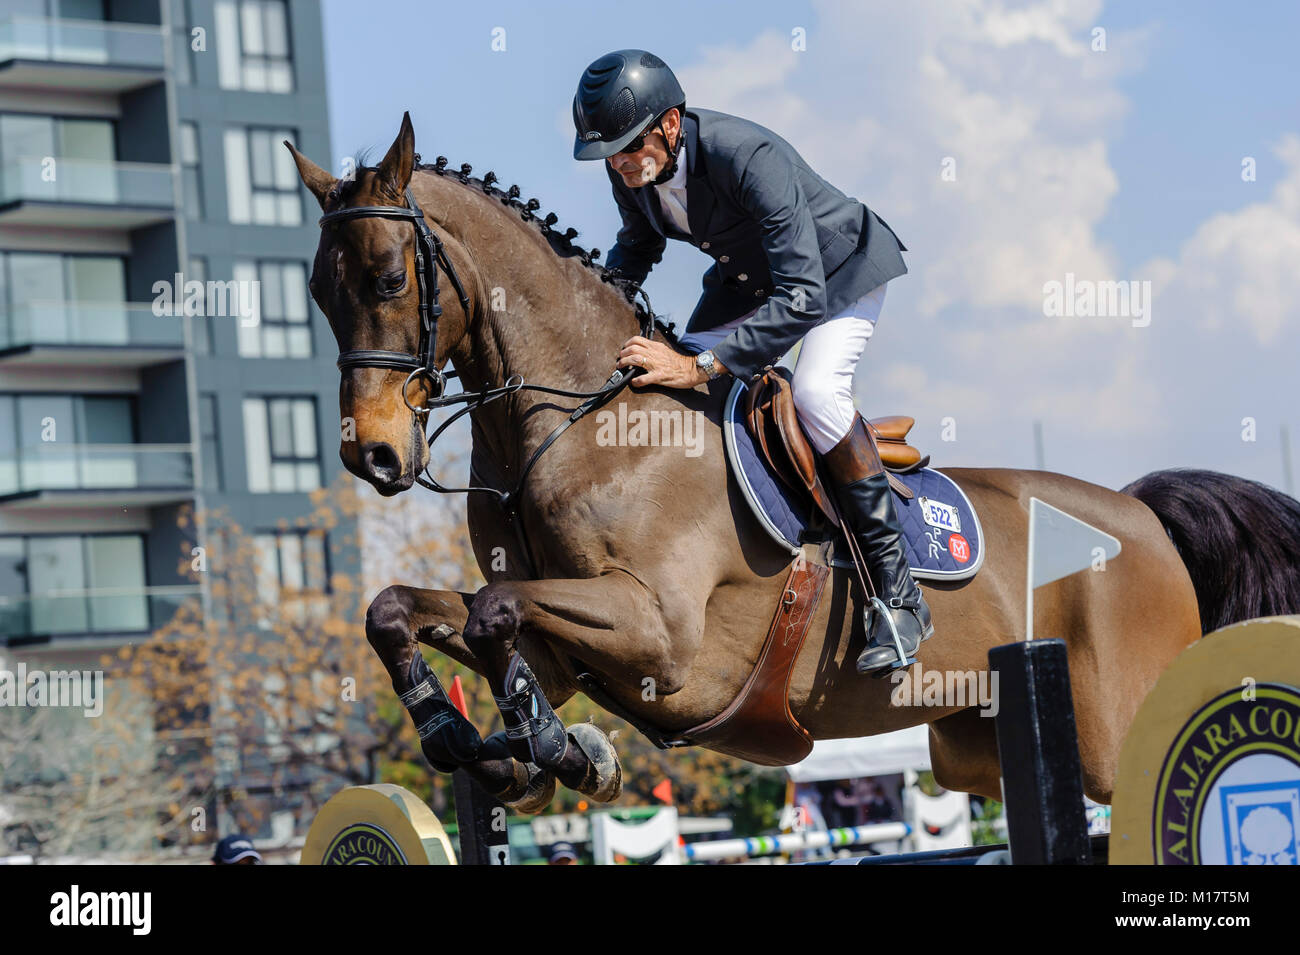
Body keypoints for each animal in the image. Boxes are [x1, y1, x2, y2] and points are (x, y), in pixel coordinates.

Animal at [287, 113, 1300, 815]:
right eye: (318, 294)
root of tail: (1142, 511)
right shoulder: (573, 647)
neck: (582, 425)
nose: (372, 454)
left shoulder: (662, 634)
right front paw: (495, 743)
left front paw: (548, 746)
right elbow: (406, 611)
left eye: (388, 279)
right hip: (978, 742)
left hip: (1111, 736)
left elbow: (496, 609)